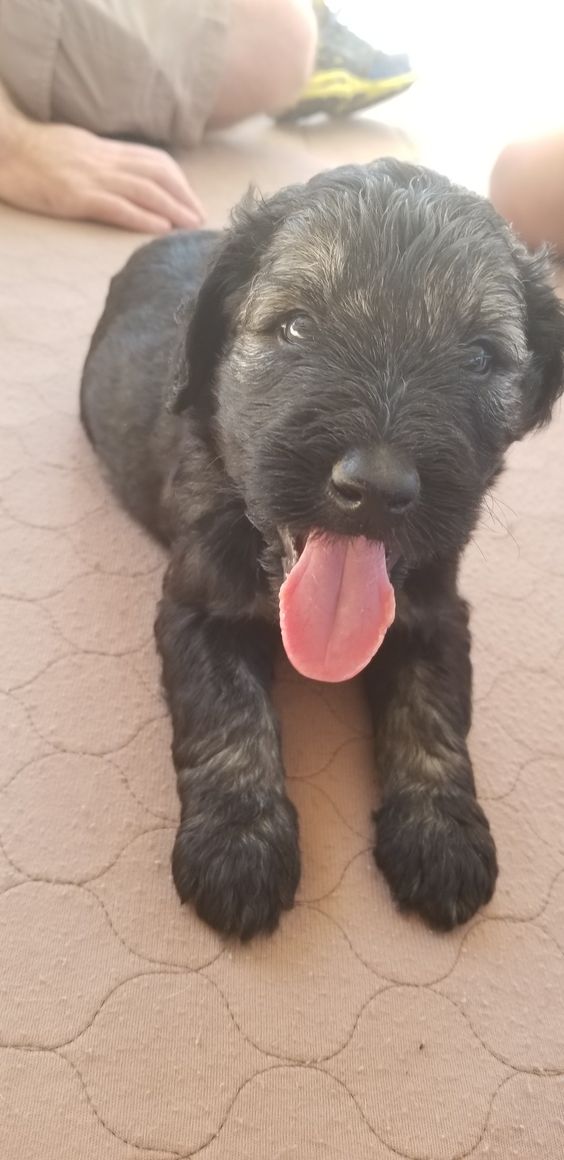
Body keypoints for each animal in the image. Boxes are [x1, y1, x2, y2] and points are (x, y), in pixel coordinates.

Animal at [79, 158, 564, 937]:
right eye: (296, 325)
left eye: (480, 356)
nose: (376, 486)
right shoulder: (196, 605)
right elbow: (228, 709)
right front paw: (238, 845)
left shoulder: (436, 612)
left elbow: (433, 712)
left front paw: (441, 833)